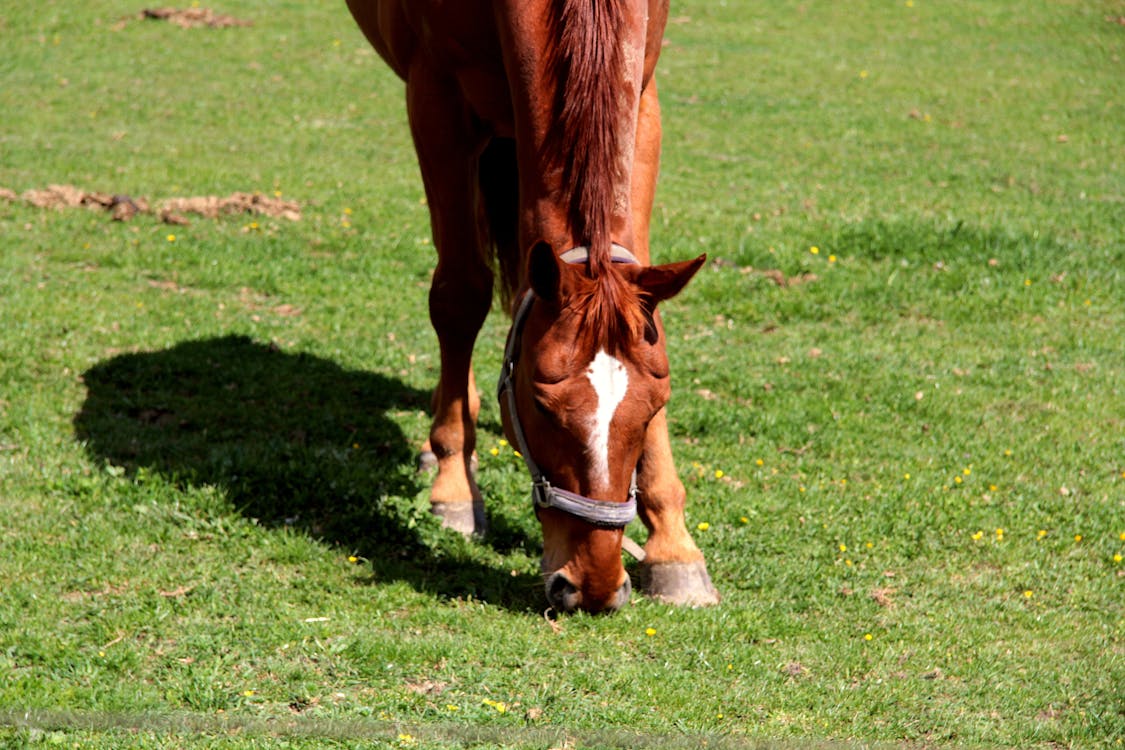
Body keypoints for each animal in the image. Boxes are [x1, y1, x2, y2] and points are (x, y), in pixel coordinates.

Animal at [346, 0, 720, 611]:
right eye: (542, 408)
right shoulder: (436, 100)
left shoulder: (642, 99)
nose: (593, 585)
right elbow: (459, 294)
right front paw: (454, 486)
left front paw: (674, 548)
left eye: (656, 405)